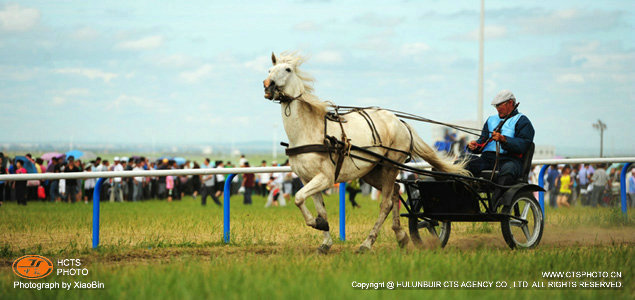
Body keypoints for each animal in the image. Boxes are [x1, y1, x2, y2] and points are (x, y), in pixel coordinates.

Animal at [260, 52, 470, 253]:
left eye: (287, 69)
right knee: (395, 191)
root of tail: (400, 122)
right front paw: (325, 238)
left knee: (386, 204)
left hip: (390, 167)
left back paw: (367, 243)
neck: (309, 131)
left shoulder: (325, 178)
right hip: (371, 172)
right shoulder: (306, 178)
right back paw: (400, 235)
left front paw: (317, 224)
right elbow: (317, 207)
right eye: (270, 69)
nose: (267, 85)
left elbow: (298, 198)